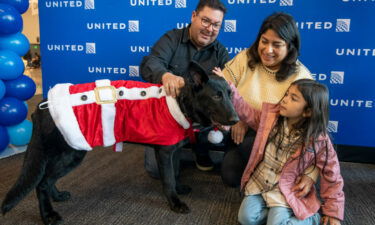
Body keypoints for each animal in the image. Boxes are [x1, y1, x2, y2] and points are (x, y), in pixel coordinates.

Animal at [1, 63, 239, 225]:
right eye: (216, 96)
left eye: (230, 95)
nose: (237, 120)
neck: (181, 103)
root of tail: (43, 105)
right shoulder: (163, 152)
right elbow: (169, 179)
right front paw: (175, 202)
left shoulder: (172, 152)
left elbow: (175, 173)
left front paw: (179, 189)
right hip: (70, 152)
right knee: (41, 183)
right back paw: (48, 215)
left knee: (48, 180)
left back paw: (58, 196)